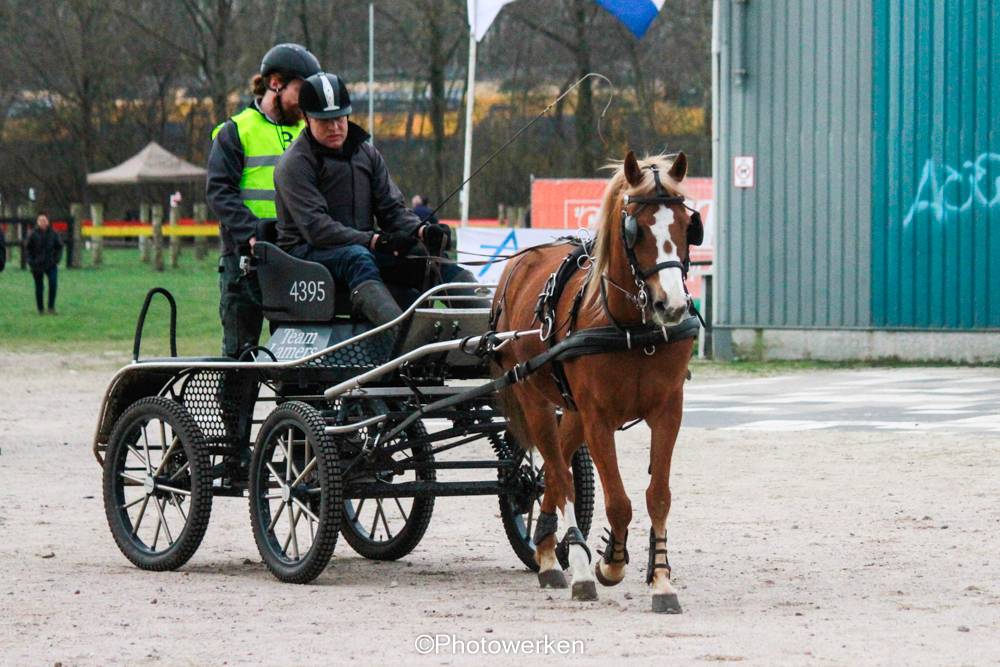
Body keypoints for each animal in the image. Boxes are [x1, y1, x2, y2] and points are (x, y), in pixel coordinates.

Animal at [490, 151, 696, 616]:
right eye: (636, 229)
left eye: (686, 224)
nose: (672, 305)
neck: (632, 327)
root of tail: (517, 264)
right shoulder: (600, 419)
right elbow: (618, 503)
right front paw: (609, 564)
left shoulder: (668, 412)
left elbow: (658, 496)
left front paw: (661, 581)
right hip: (535, 400)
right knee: (559, 475)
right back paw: (577, 568)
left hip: (572, 411)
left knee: (552, 471)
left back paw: (548, 551)